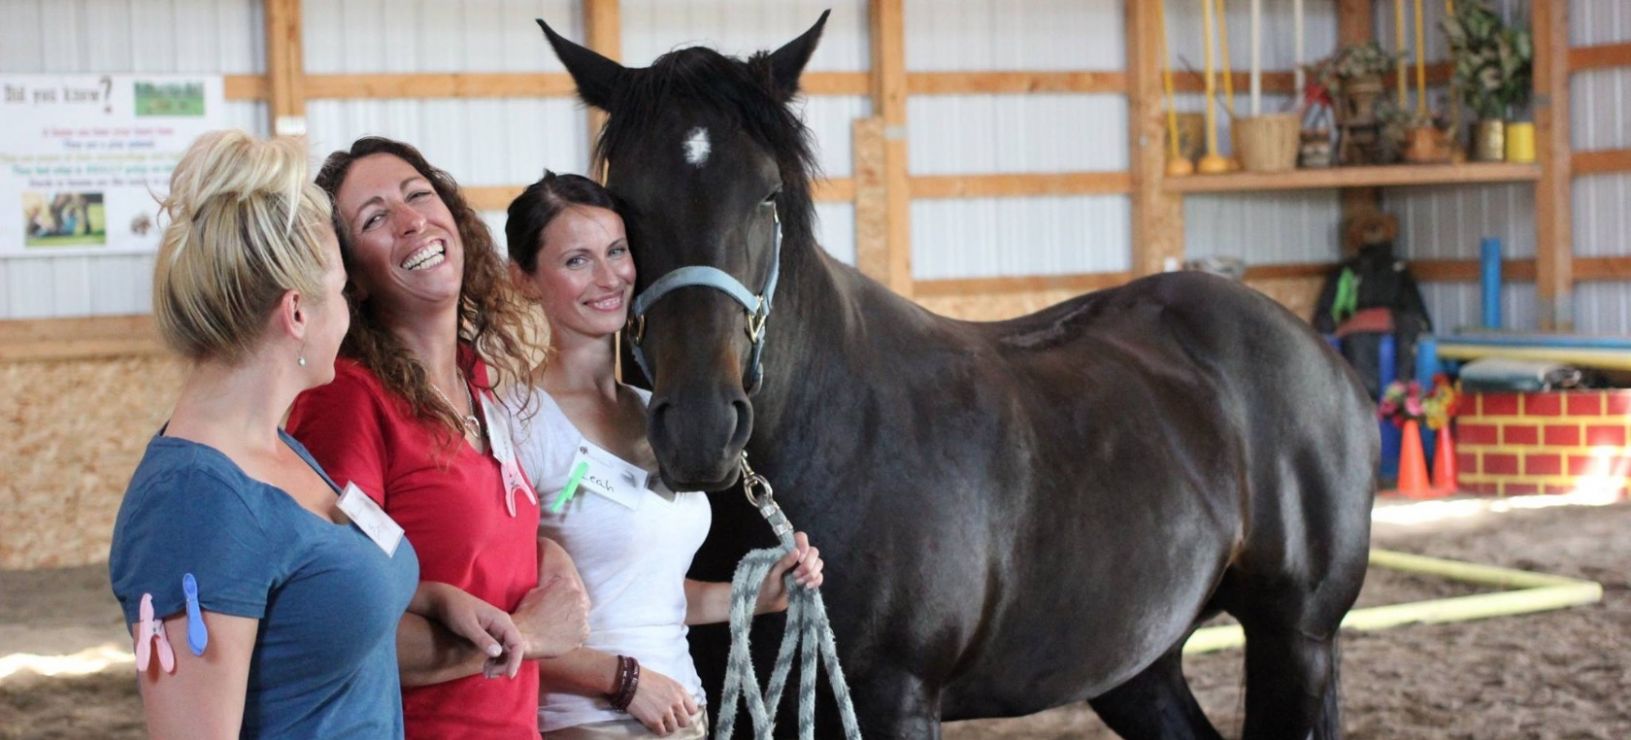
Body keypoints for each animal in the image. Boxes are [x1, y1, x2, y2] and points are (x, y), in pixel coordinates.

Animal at [539, 13, 1377, 739]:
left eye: (767, 194)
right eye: (622, 202)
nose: (701, 428)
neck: (833, 435)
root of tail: (1320, 356)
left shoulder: (895, 703)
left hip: (1293, 641)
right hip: (1139, 666)